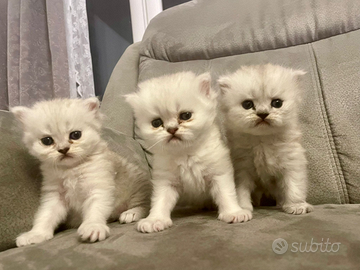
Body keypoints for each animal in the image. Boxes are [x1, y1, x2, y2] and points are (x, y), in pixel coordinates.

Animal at [10, 98, 149, 246]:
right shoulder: (55, 195)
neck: (71, 169)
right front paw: (36, 234)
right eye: (47, 140)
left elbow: (95, 209)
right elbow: (46, 215)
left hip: (137, 188)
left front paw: (93, 227)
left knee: (144, 205)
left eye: (75, 135)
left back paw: (131, 213)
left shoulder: (99, 187)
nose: (63, 149)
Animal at [126, 72, 253, 234]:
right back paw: (131, 213)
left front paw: (233, 213)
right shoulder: (165, 181)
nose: (172, 129)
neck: (185, 153)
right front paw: (155, 220)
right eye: (156, 123)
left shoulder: (219, 172)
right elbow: (159, 201)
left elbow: (226, 194)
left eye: (185, 116)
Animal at [218, 65, 314, 215]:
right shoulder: (242, 168)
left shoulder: (292, 164)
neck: (262, 140)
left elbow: (294, 187)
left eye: (277, 103)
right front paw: (243, 208)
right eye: (247, 104)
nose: (263, 114)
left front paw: (296, 206)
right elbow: (241, 192)